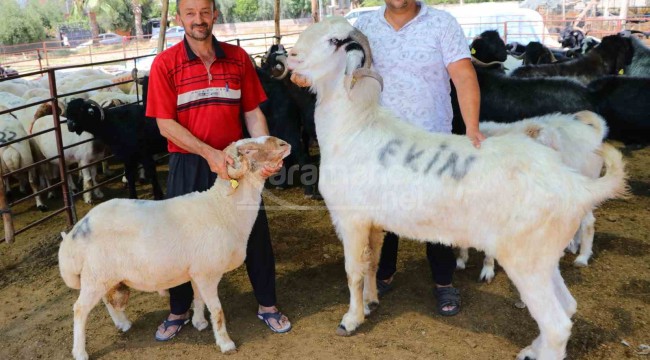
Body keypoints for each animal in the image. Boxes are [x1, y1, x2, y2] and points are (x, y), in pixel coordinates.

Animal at [59, 136, 290, 360]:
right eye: (248, 150)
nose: (284, 143)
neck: (222, 209)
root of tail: (77, 232)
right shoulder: (207, 273)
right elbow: (217, 311)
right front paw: (226, 344)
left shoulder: (196, 271)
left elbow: (198, 298)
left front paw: (199, 322)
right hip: (96, 275)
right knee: (80, 310)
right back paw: (80, 352)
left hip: (106, 276)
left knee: (107, 300)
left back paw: (123, 324)